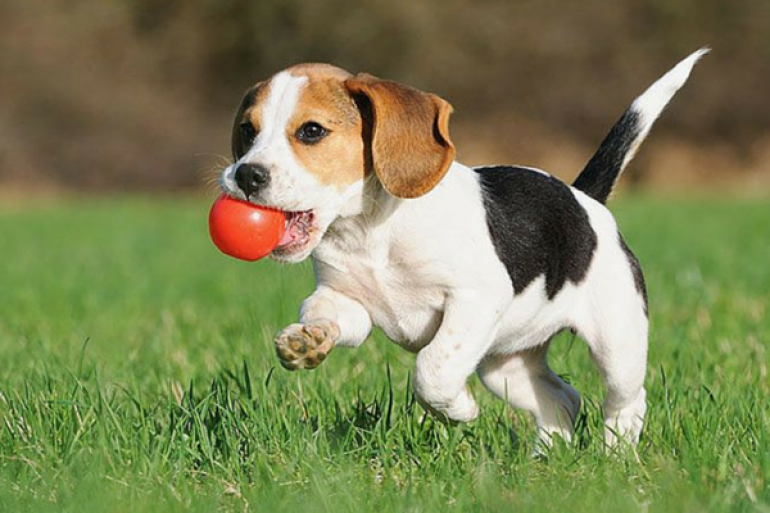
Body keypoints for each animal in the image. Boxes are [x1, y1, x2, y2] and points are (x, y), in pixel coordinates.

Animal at [219, 50, 704, 446]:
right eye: (247, 130)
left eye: (312, 131)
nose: (245, 175)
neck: (369, 232)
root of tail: (583, 198)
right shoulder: (347, 301)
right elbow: (325, 313)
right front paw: (308, 340)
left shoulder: (475, 299)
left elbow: (432, 369)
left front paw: (459, 411)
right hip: (505, 366)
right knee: (562, 399)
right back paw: (545, 460)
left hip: (617, 343)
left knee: (625, 402)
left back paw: (616, 457)